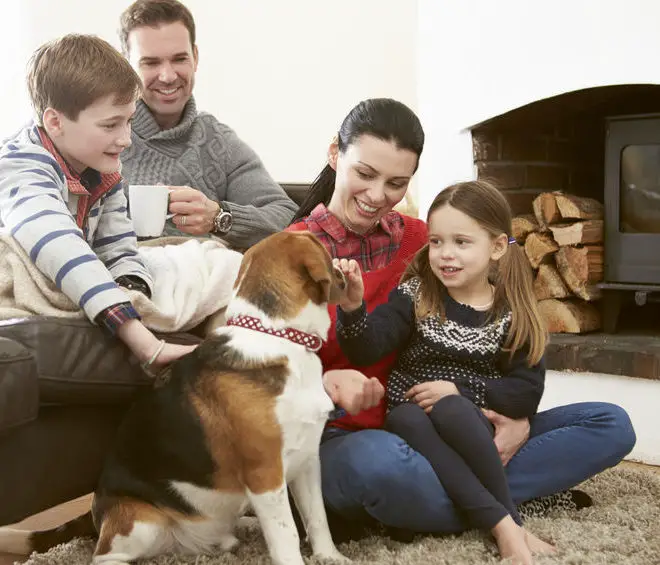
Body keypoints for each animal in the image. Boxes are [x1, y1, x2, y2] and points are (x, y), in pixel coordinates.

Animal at [0, 230, 348, 564]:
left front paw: (329, 557)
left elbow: (317, 518)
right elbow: (287, 534)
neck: (276, 335)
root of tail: (95, 512)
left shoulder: (307, 461)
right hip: (141, 524)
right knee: (104, 555)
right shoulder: (265, 473)